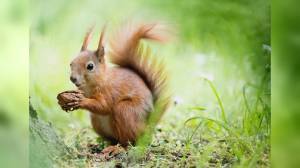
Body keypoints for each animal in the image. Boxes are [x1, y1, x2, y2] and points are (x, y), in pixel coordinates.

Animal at [57, 22, 170, 158]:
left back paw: (117, 149)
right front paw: (65, 101)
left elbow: (103, 106)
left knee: (129, 143)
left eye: (90, 66)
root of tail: (149, 125)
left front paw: (82, 101)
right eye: (71, 63)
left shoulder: (109, 92)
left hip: (126, 111)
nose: (73, 78)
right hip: (96, 121)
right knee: (114, 139)